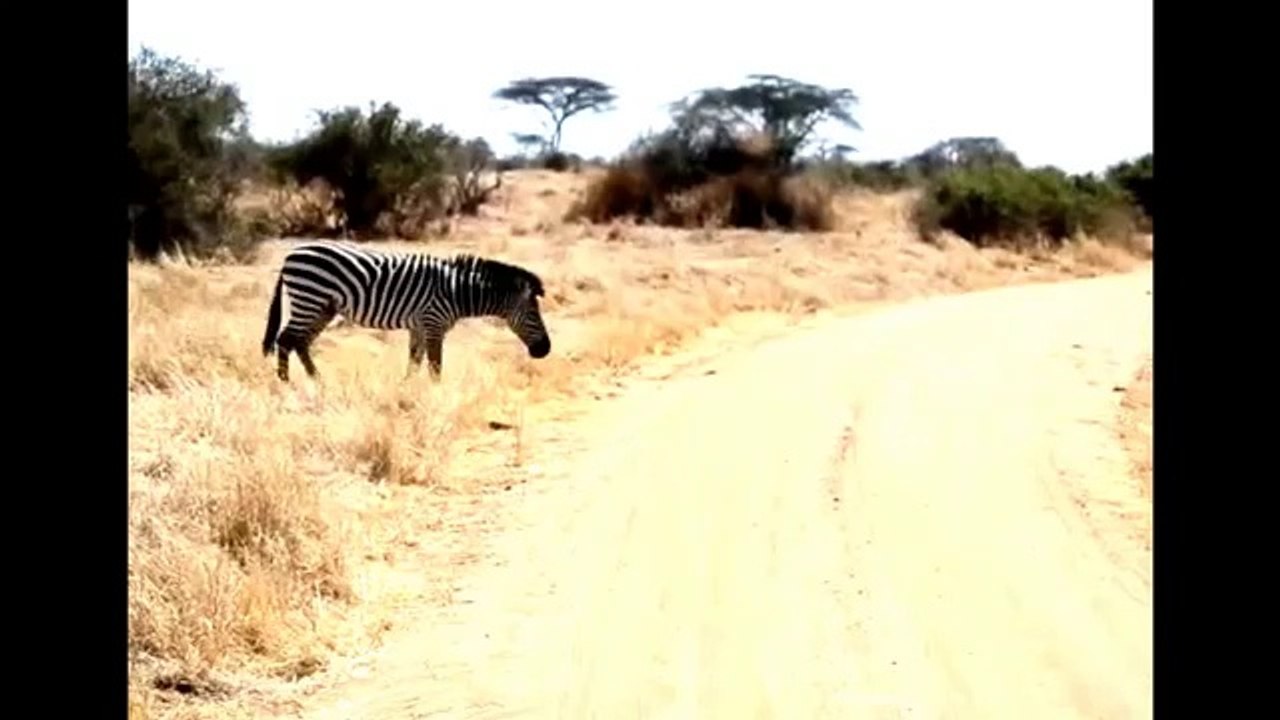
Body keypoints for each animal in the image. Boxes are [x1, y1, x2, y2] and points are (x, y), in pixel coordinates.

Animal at [261, 240, 551, 382]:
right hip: (309, 298)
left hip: (323, 307)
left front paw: (406, 392)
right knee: (286, 339)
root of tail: (292, 254)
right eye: (533, 314)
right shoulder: (433, 324)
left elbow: (414, 362)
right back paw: (286, 384)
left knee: (300, 342)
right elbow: (435, 367)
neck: (456, 291)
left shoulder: (419, 326)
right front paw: (435, 397)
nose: (545, 350)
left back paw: (318, 381)